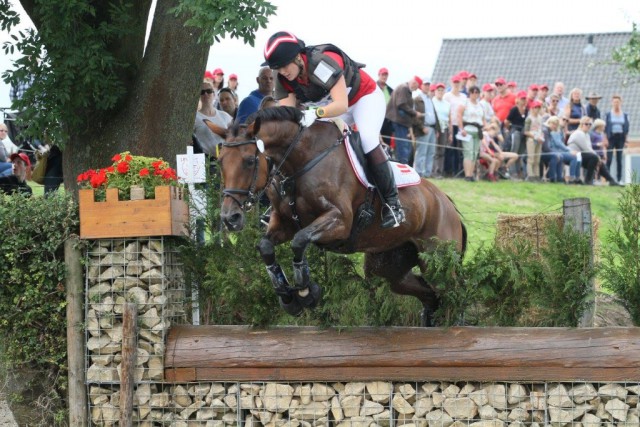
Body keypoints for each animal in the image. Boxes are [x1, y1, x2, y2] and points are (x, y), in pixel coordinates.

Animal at [218, 108, 468, 328]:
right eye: (220, 162)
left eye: (250, 161)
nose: (230, 217)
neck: (300, 160)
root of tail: (447, 205)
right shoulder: (284, 223)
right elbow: (266, 246)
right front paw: (288, 297)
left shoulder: (340, 221)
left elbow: (300, 241)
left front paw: (306, 293)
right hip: (390, 266)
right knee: (429, 296)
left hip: (436, 260)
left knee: (454, 290)